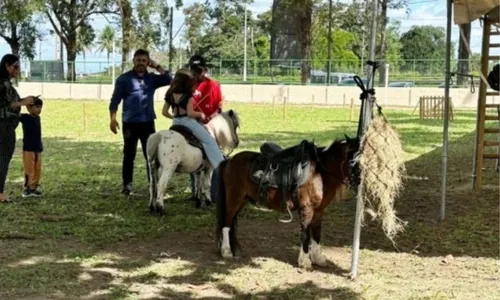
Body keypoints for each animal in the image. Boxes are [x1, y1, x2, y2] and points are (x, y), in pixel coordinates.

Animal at [214, 136, 360, 270]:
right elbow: (305, 233)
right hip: (234, 199)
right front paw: (305, 261)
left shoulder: (319, 210)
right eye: (355, 161)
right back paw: (226, 251)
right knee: (226, 223)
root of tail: (228, 160)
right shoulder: (307, 209)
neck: (319, 172)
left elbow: (317, 232)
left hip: (242, 200)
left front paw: (318, 258)